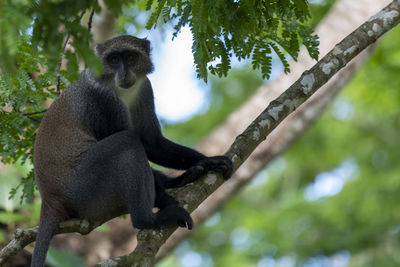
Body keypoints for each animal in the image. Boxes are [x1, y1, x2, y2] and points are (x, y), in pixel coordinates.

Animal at [31, 34, 233, 266]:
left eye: (129, 57)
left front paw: (209, 161)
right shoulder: (103, 99)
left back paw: (182, 180)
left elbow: (151, 142)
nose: (124, 73)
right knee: (127, 142)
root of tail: (50, 198)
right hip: (83, 189)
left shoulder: (145, 88)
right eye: (113, 60)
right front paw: (164, 201)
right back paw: (148, 219)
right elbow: (137, 142)